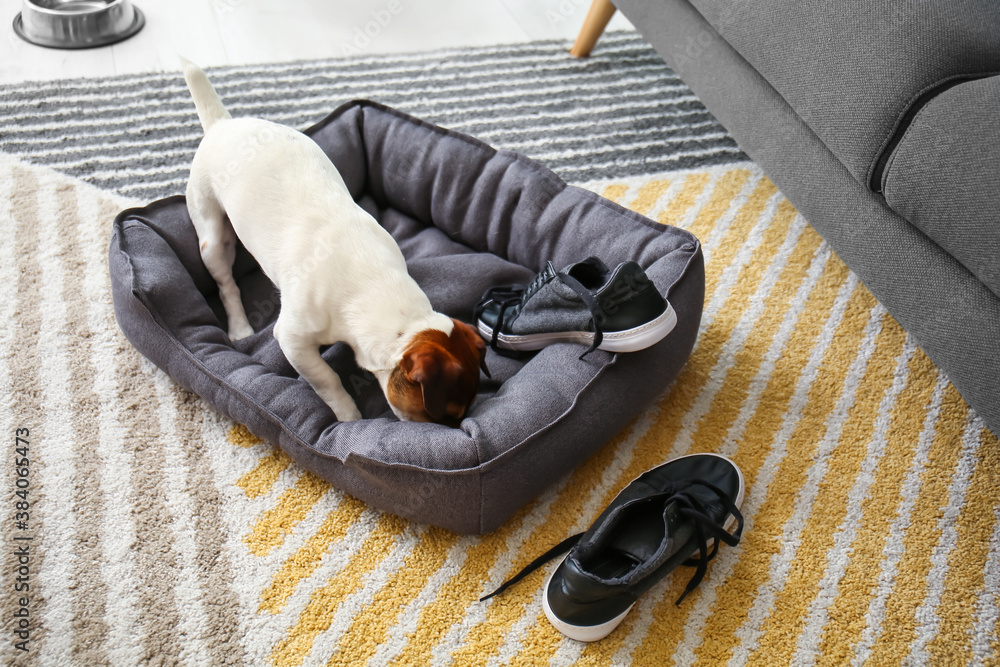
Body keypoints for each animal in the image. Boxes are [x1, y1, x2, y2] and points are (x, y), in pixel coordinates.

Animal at [186, 57, 490, 422]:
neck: (374, 286)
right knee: (225, 282)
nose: (458, 429)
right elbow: (327, 378)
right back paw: (240, 327)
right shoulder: (293, 341)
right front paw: (348, 416)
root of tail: (221, 124)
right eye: (447, 416)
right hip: (212, 236)